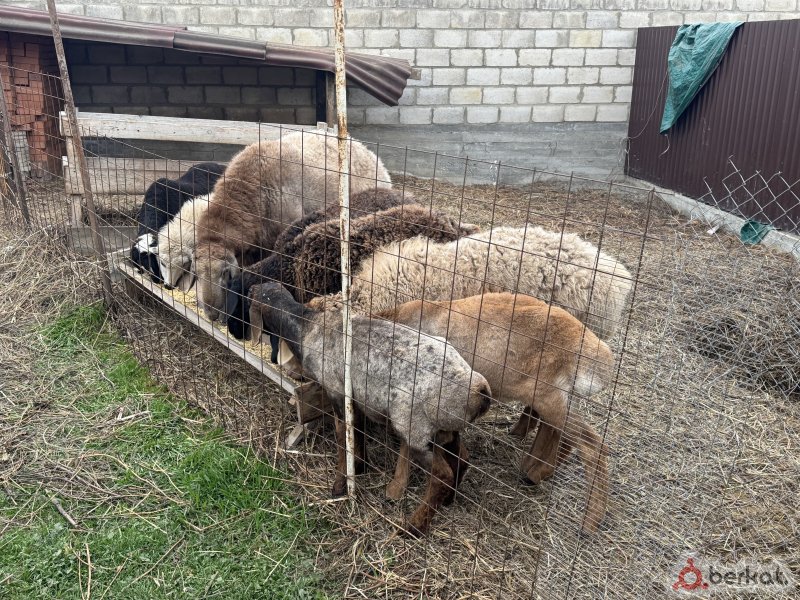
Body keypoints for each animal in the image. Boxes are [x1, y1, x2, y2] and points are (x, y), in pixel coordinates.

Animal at [248, 281, 492, 536]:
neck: (307, 328)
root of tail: (479, 390)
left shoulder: (337, 392)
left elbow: (342, 437)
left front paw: (339, 485)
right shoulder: (358, 399)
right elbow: (358, 431)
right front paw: (360, 465)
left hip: (415, 428)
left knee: (441, 476)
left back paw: (414, 527)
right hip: (447, 427)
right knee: (462, 458)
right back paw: (448, 501)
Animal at [377, 292, 613, 534]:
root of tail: (600, 357)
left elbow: (407, 444)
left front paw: (394, 489)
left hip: (549, 397)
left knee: (592, 444)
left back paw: (591, 521)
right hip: (553, 398)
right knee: (556, 432)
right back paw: (532, 471)